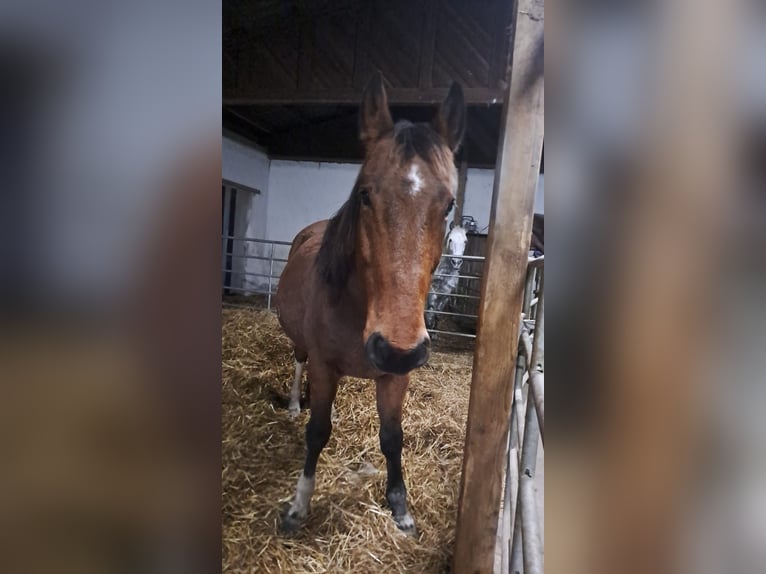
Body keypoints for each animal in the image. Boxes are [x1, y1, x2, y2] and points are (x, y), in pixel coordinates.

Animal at [278, 73, 468, 540]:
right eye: (364, 194)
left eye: (449, 204)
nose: (395, 348)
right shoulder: (325, 364)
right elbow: (317, 432)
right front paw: (298, 506)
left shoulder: (395, 376)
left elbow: (392, 437)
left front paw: (400, 509)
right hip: (303, 348)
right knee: (298, 364)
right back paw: (293, 404)